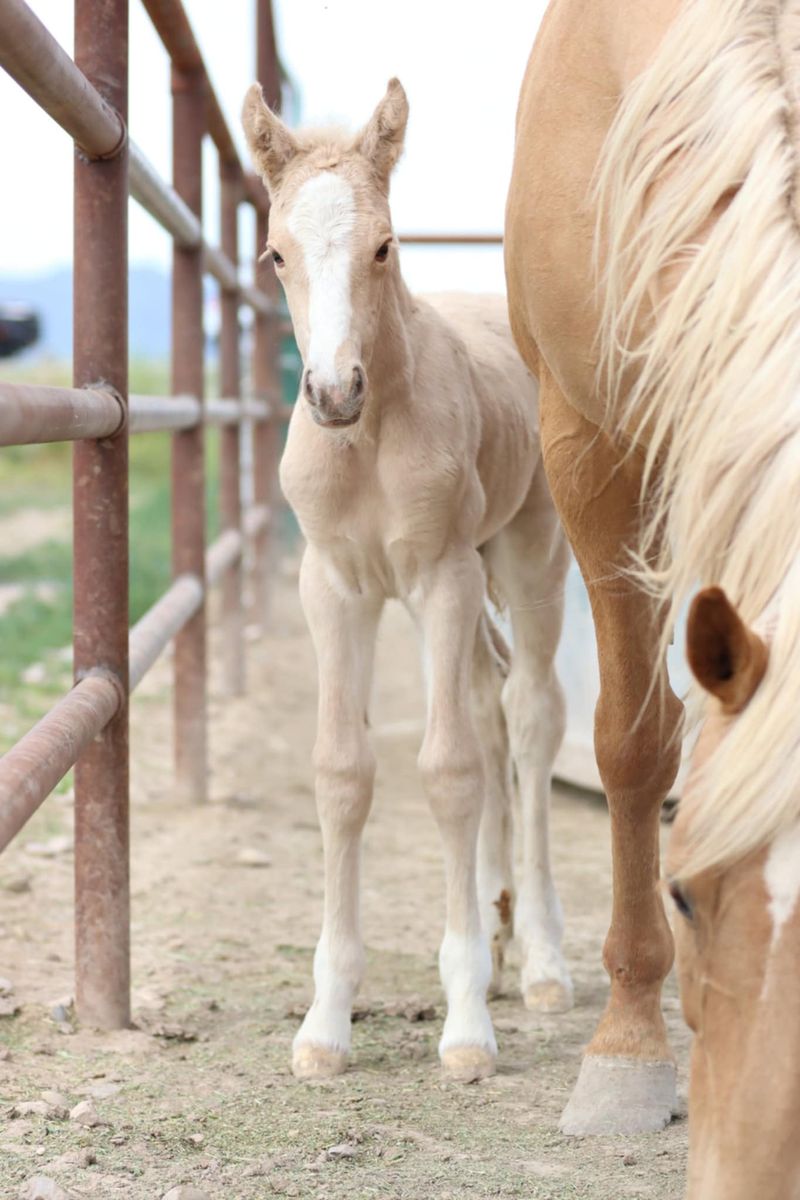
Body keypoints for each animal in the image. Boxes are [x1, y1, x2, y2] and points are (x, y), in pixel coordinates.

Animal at [242, 79, 572, 1083]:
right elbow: (343, 773)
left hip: (527, 556)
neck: (372, 439)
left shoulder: (439, 578)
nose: (332, 392)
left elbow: (449, 770)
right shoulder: (333, 588)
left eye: (384, 245)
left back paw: (541, 963)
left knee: (532, 718)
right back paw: (502, 937)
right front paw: (325, 1025)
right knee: (495, 708)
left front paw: (465, 1025)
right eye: (276, 253)